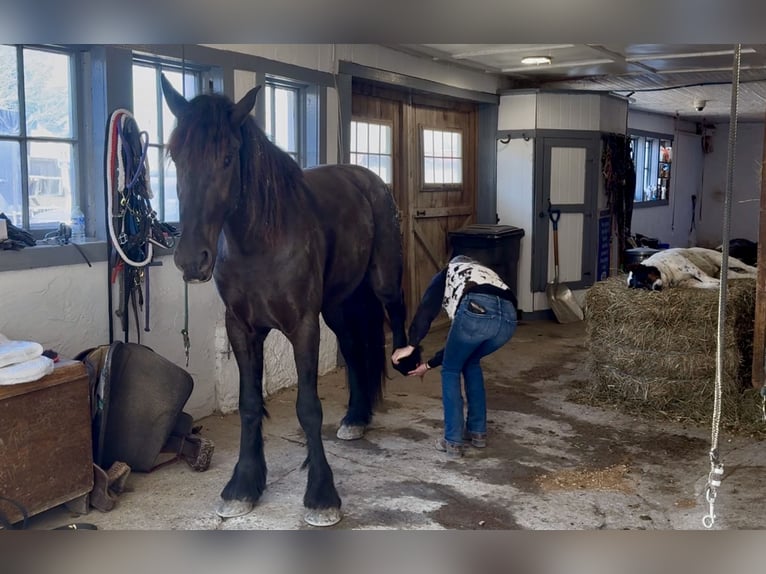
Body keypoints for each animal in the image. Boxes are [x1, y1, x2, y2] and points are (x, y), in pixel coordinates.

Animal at [160, 75, 410, 527]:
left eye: (228, 157)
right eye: (175, 155)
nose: (191, 260)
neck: (260, 243)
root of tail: (368, 180)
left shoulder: (303, 327)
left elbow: (308, 407)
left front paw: (322, 495)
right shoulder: (242, 330)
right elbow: (248, 404)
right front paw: (243, 485)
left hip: (381, 280)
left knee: (394, 307)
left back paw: (403, 359)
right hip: (338, 304)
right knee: (353, 348)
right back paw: (356, 417)